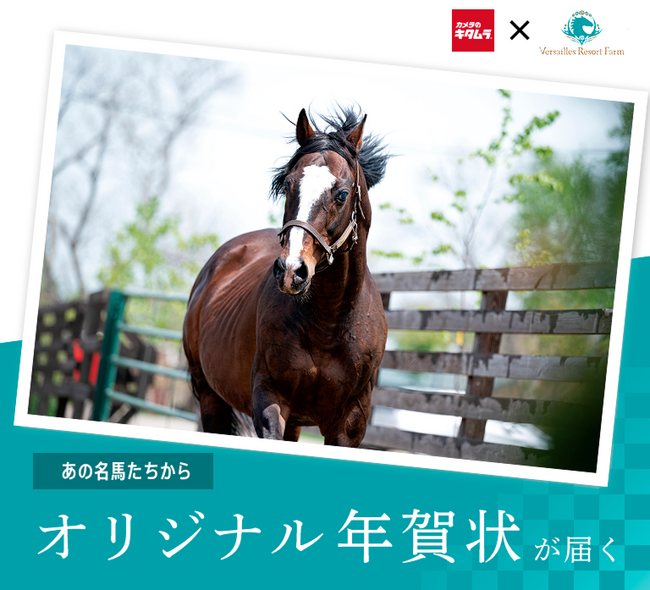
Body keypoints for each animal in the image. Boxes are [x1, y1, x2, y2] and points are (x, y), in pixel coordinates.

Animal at [182, 107, 390, 446]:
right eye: (288, 185)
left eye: (341, 194)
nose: (291, 270)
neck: (329, 324)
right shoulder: (270, 399)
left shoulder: (349, 424)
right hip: (209, 395)